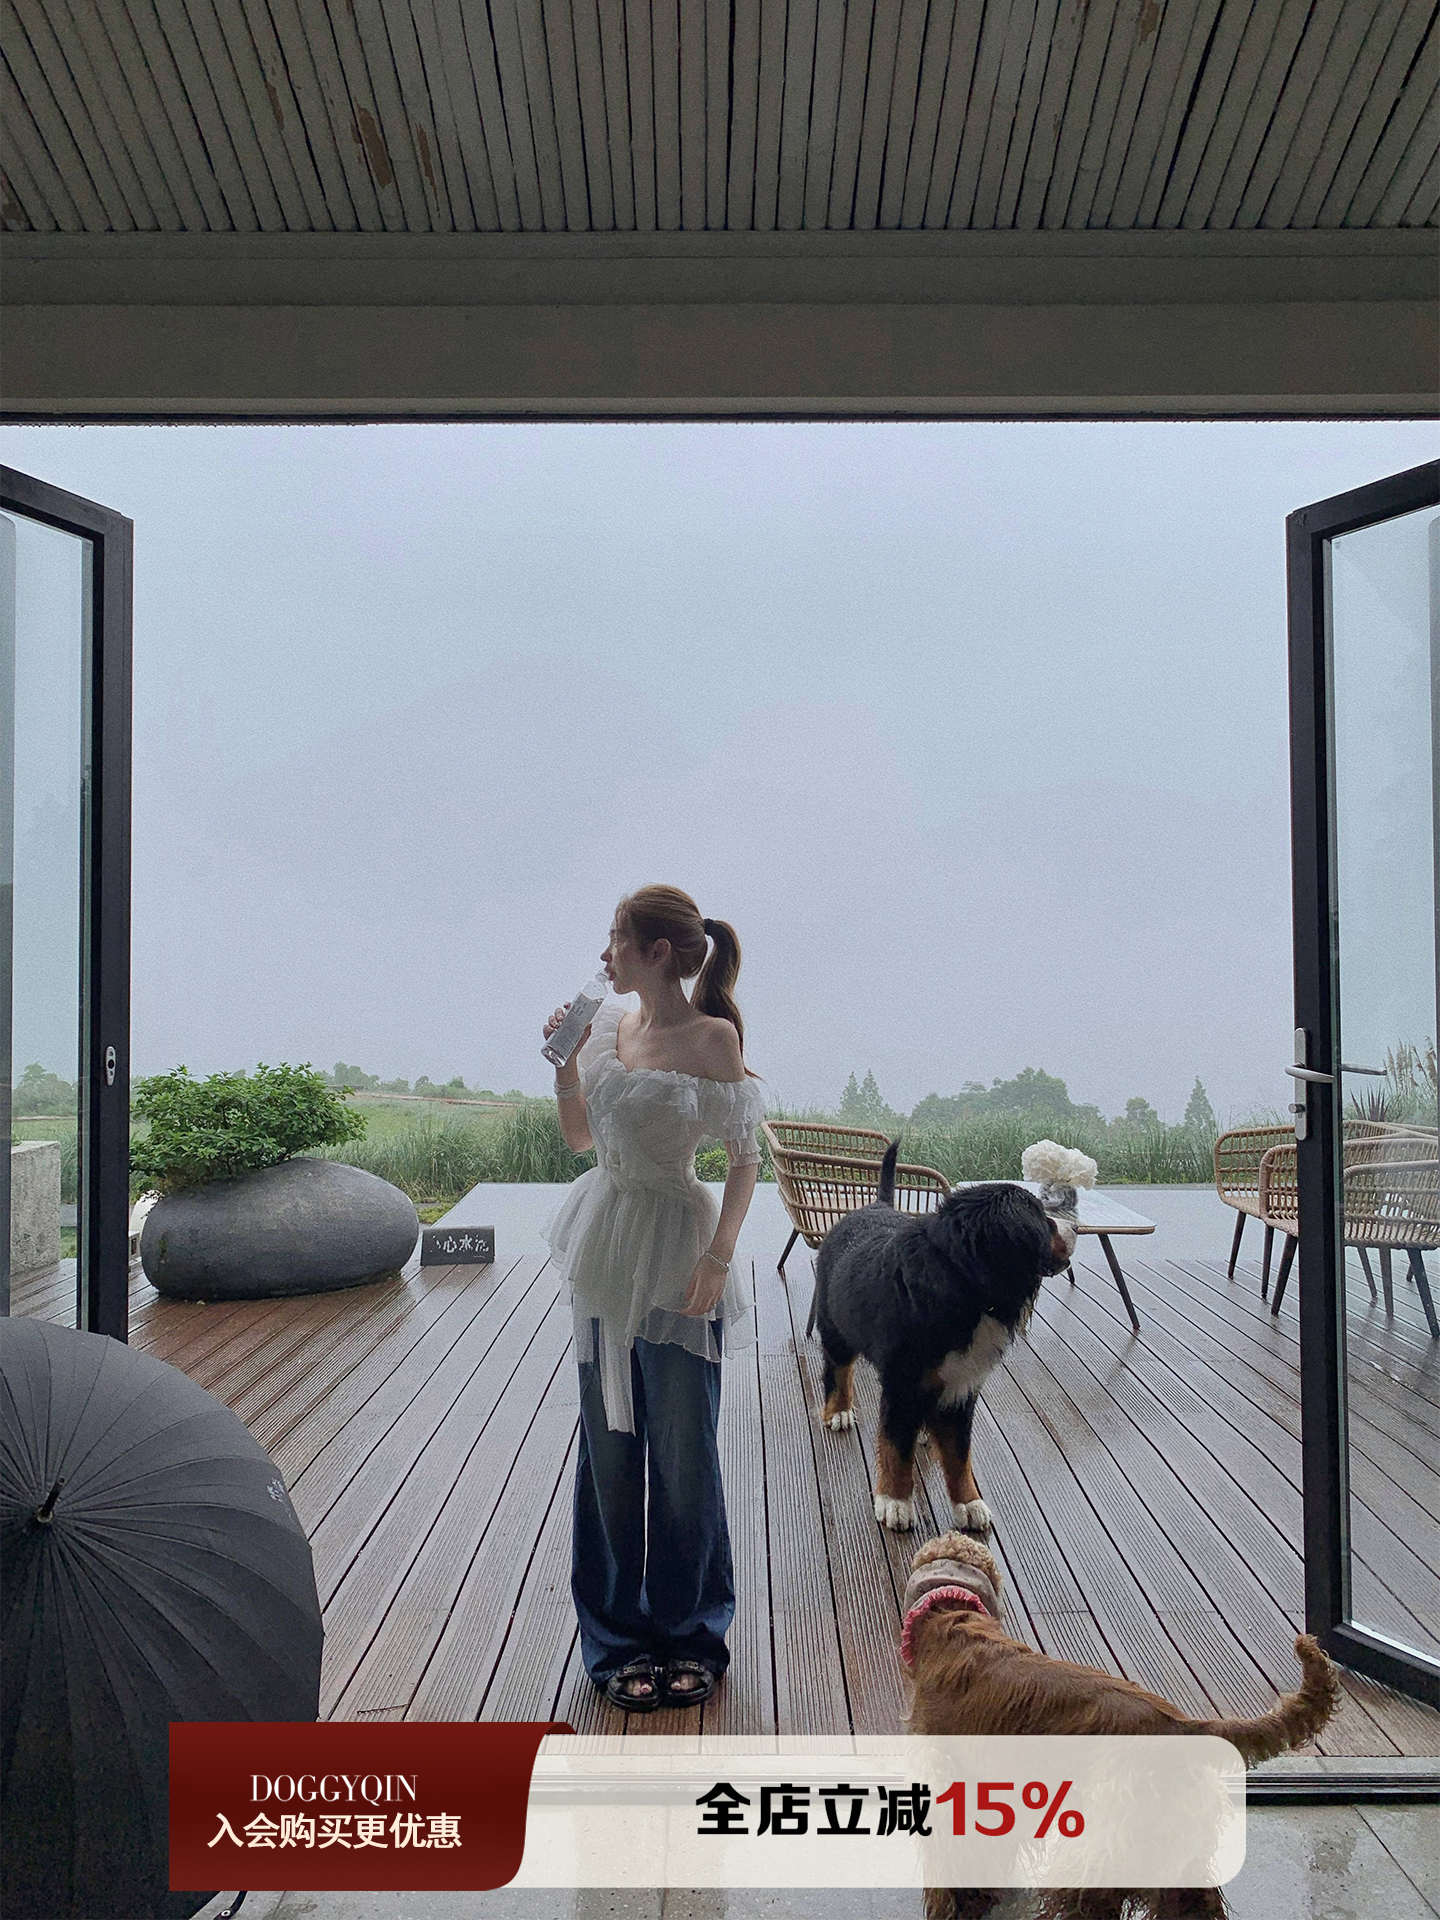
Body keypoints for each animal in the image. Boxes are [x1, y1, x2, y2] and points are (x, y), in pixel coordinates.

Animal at [812, 1141, 1088, 1532]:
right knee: (838, 1368)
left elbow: (959, 1454)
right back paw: (838, 1410)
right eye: (1041, 1220)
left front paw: (967, 1503)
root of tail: (876, 1206)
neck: (962, 1284)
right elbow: (895, 1445)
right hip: (836, 1325)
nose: (1075, 1228)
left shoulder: (963, 1384)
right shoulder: (903, 1382)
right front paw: (895, 1500)